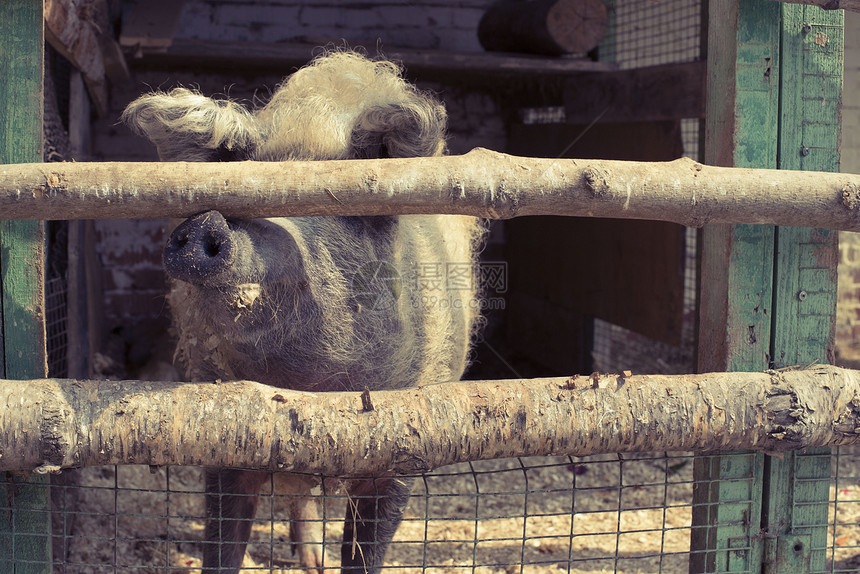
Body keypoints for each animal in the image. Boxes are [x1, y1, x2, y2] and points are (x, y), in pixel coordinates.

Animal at [121, 50, 484, 574]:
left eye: (327, 204)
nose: (209, 222)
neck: (308, 388)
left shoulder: (405, 451)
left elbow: (366, 550)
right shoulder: (221, 440)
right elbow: (223, 544)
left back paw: (313, 561)